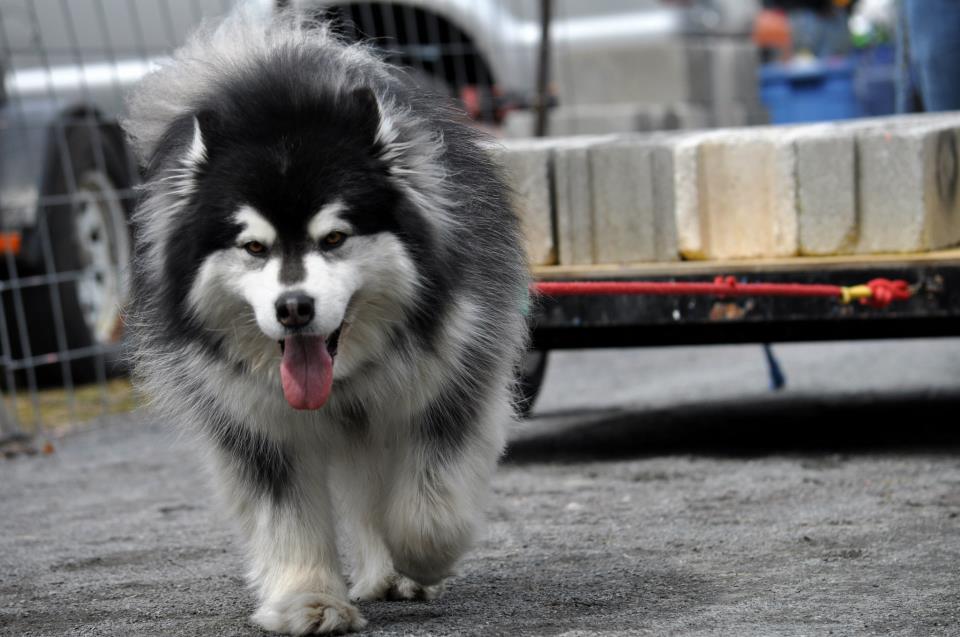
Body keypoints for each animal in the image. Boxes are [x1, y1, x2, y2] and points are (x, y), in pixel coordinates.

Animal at [123, 11, 528, 636]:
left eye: (334, 238)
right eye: (254, 246)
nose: (294, 308)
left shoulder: (453, 375)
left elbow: (427, 501)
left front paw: (419, 557)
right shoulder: (253, 421)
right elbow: (286, 516)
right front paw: (308, 599)